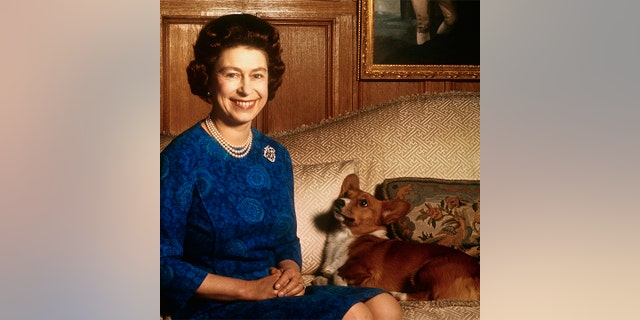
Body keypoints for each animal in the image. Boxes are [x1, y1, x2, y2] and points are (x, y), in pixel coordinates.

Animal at [318, 174, 478, 302]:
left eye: (363, 203)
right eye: (346, 194)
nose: (339, 201)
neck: (345, 237)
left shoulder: (366, 270)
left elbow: (337, 273)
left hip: (427, 269)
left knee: (429, 295)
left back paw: (397, 295)